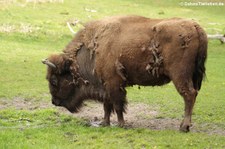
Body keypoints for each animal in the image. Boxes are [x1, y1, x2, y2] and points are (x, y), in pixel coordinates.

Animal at [42, 15, 207, 132]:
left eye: (54, 80)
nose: (54, 102)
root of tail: (195, 26)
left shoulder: (114, 83)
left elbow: (117, 104)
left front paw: (121, 124)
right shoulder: (105, 85)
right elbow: (107, 105)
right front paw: (104, 123)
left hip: (180, 75)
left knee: (189, 95)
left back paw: (184, 127)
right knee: (193, 94)